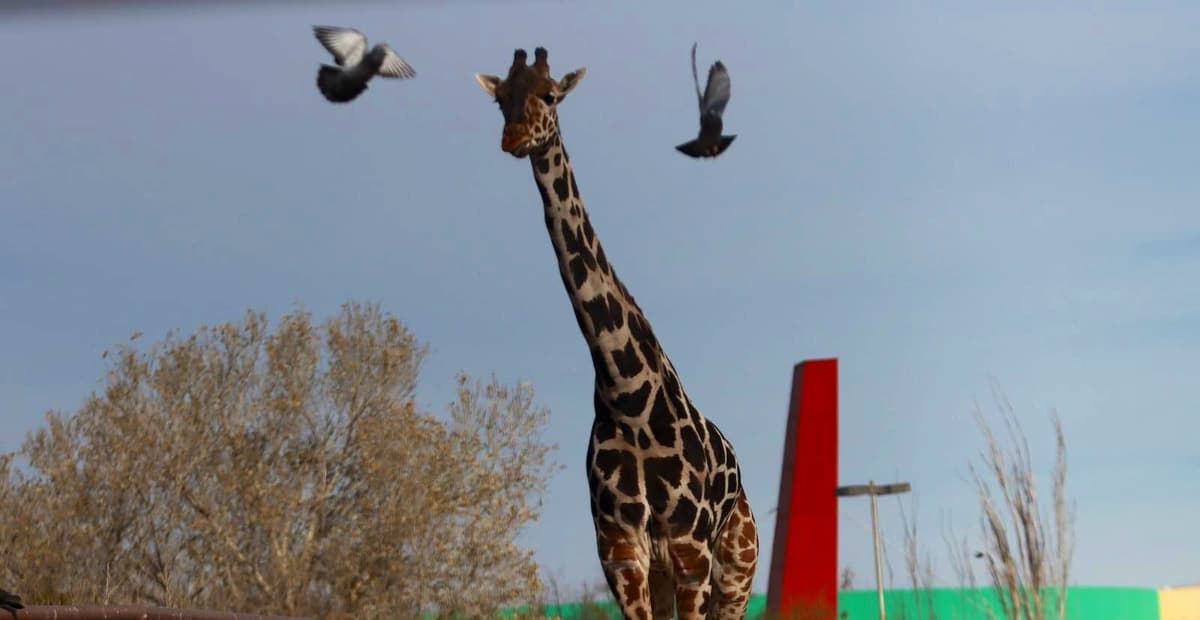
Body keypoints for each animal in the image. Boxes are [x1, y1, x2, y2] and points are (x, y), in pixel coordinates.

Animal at [474, 48, 759, 619]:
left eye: (550, 95)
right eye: (501, 97)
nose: (514, 138)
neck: (626, 394)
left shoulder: (690, 551)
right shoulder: (621, 551)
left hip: (736, 570)